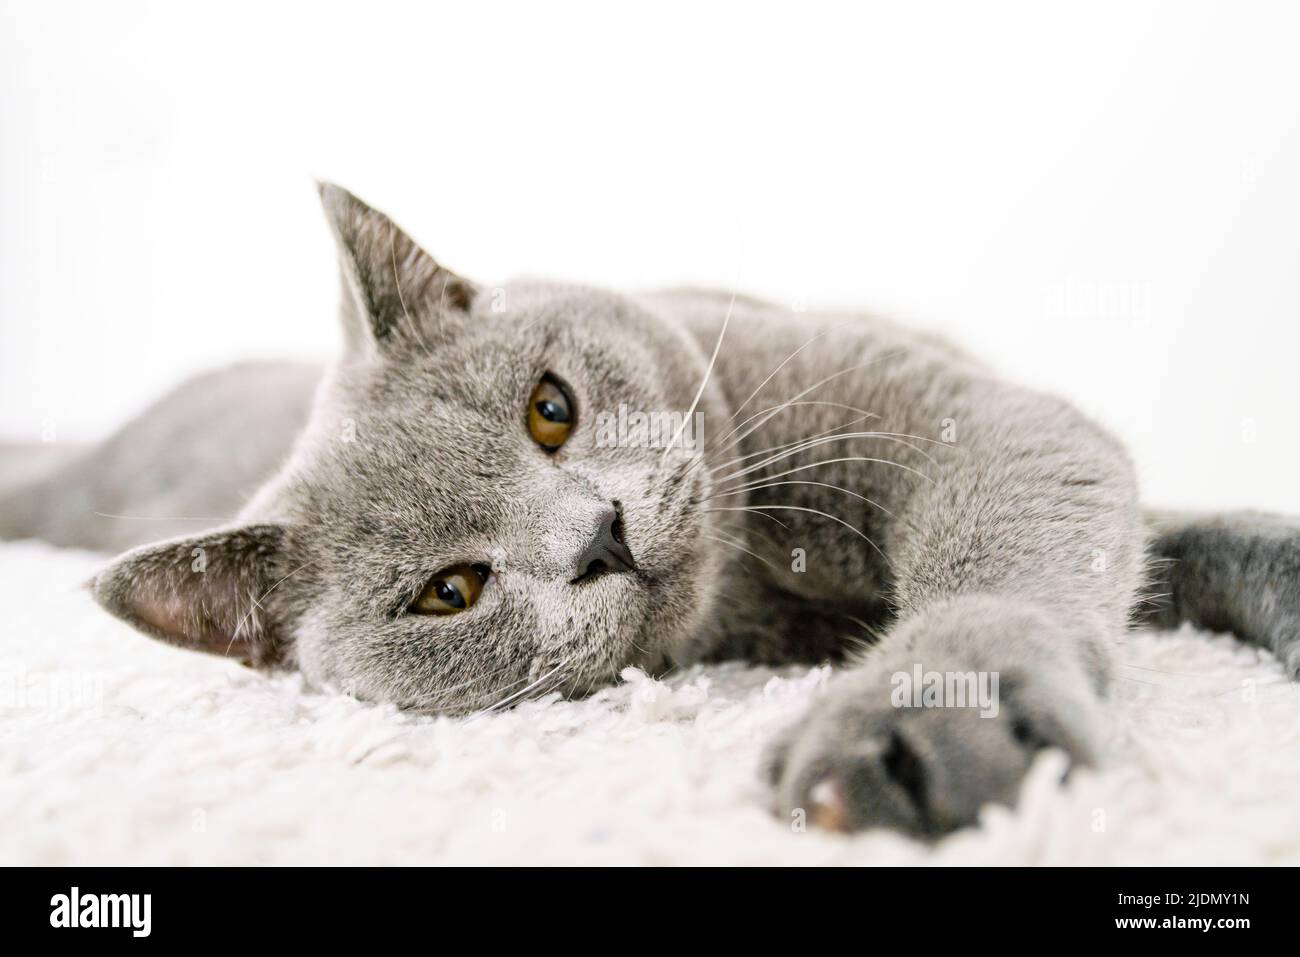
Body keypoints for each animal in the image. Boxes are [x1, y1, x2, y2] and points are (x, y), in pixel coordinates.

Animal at [2, 183, 1300, 832]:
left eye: (550, 411)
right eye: (450, 592)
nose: (598, 536)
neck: (766, 590)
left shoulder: (940, 412)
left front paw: (918, 714)